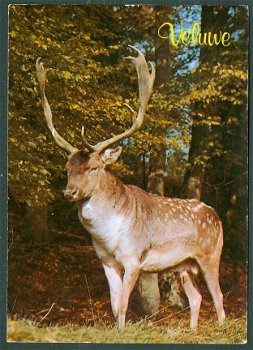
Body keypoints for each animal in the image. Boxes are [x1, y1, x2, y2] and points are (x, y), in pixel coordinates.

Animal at [35, 46, 225, 328]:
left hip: (211, 255)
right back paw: (192, 330)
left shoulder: (134, 258)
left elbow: (124, 303)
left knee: (218, 296)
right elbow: (115, 305)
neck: (109, 235)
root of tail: (217, 216)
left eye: (94, 167)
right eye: (67, 167)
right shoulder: (106, 261)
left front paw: (123, 329)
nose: (70, 192)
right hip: (184, 266)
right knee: (197, 297)